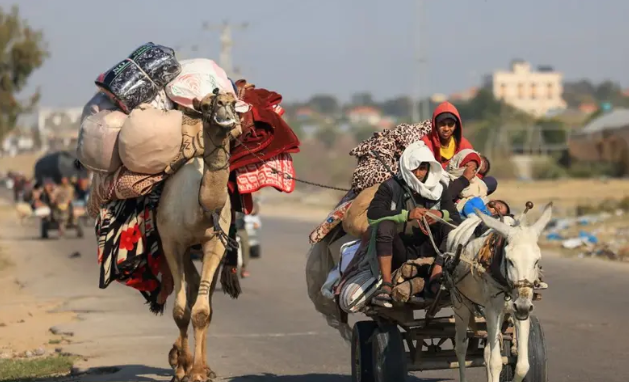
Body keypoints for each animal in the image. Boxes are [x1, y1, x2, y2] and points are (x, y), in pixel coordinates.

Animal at [158, 90, 242, 382]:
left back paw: (202, 366)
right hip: (181, 250)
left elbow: (202, 312)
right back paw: (179, 359)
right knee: (191, 290)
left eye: (234, 103)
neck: (199, 210)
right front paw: (182, 367)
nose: (225, 114)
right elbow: (180, 311)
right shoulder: (172, 244)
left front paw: (197, 372)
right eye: (206, 106)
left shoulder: (215, 243)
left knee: (204, 299)